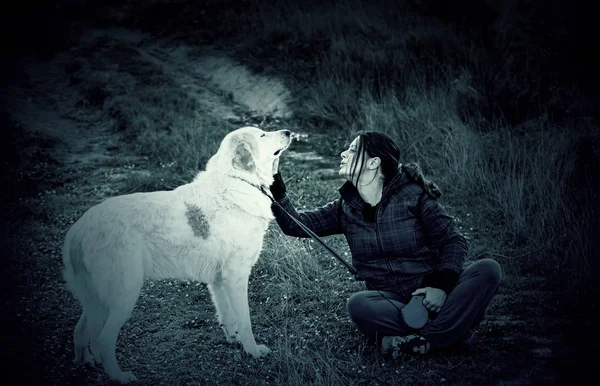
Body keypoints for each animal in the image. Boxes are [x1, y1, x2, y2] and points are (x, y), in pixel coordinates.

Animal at [62, 126, 292, 382]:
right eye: (262, 135)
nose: (288, 131)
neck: (238, 182)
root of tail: (79, 231)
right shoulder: (236, 276)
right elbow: (245, 321)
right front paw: (252, 350)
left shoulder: (218, 280)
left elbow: (227, 315)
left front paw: (233, 339)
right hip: (123, 294)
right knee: (102, 339)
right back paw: (120, 377)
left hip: (96, 300)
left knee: (80, 330)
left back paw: (85, 360)